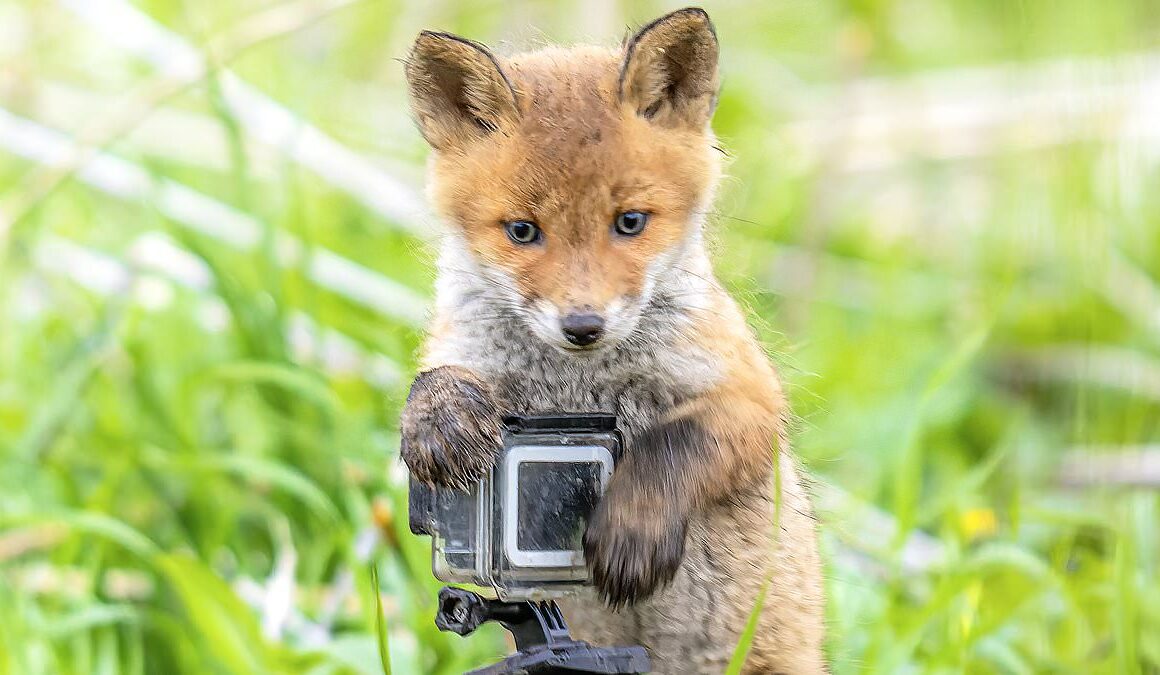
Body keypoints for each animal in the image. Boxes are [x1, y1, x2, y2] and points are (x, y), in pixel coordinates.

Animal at [399, 6, 825, 675]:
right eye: (523, 231)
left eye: (630, 223)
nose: (582, 326)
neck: (580, 381)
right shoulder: (462, 353)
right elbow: (431, 383)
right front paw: (439, 424)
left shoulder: (753, 398)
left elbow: (673, 446)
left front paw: (632, 527)